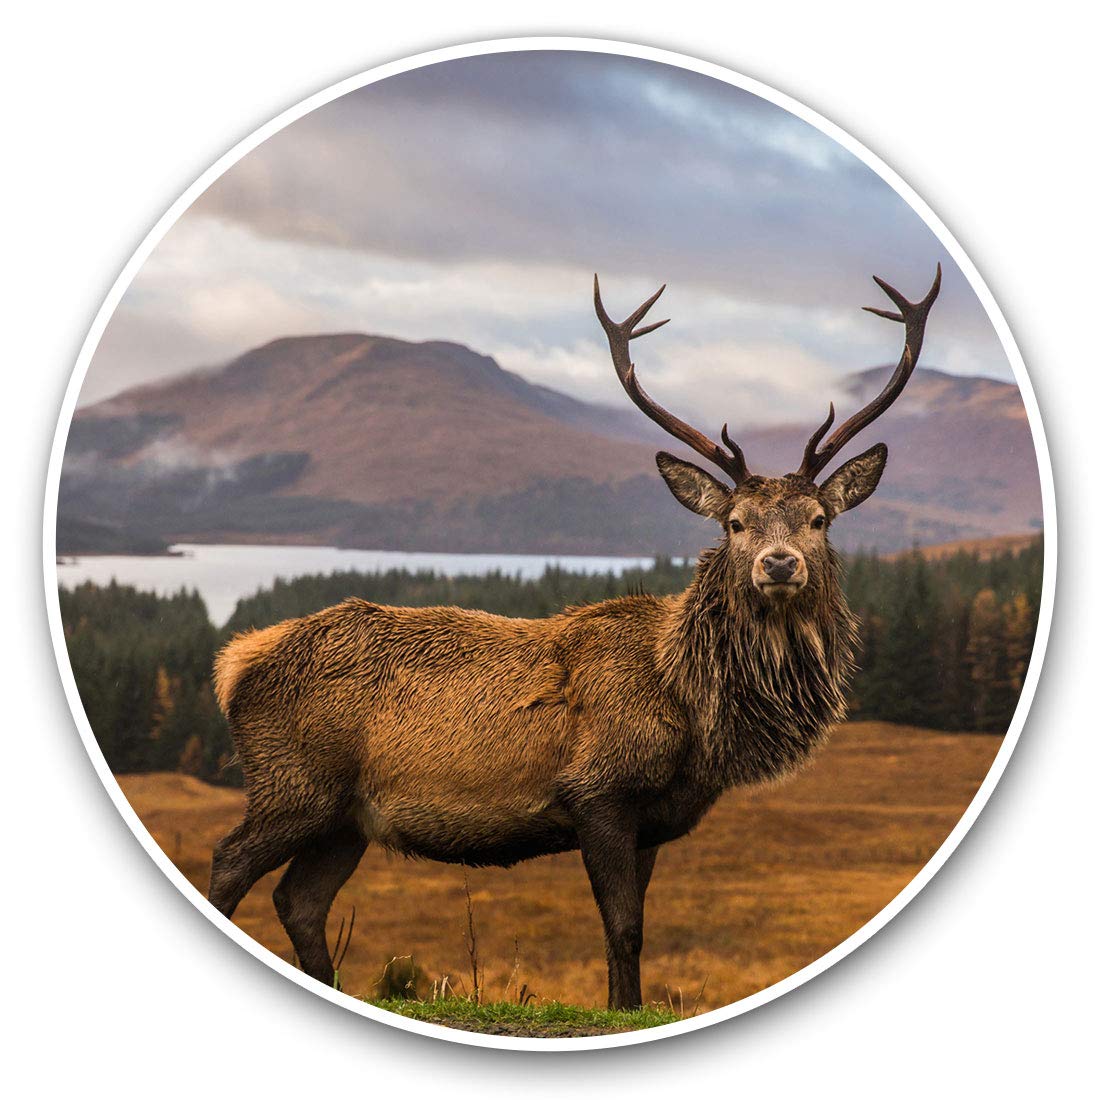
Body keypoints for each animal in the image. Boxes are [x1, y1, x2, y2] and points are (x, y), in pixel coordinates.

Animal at [208, 265, 940, 1010]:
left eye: (819, 518)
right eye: (735, 522)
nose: (780, 564)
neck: (693, 710)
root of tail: (234, 662)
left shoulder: (653, 820)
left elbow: (634, 929)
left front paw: (627, 1005)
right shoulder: (597, 791)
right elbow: (622, 927)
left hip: (345, 818)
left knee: (299, 899)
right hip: (293, 784)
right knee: (228, 864)